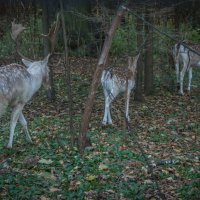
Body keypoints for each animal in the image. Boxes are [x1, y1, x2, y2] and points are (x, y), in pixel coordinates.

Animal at [0, 17, 59, 148]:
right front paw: (9, 145)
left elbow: (24, 122)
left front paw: (30, 140)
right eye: (48, 70)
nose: (49, 86)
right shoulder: (21, 100)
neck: (31, 82)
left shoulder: (15, 103)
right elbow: (13, 123)